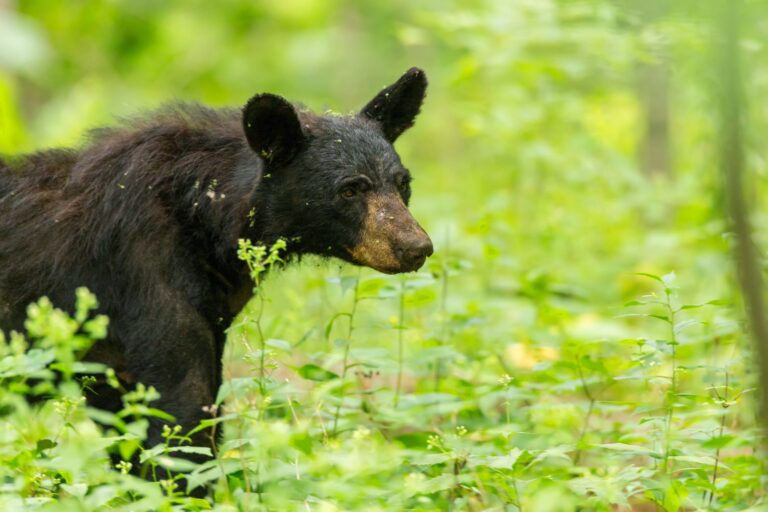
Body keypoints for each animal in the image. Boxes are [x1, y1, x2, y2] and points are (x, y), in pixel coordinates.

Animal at [0, 68, 433, 488]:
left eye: (403, 183)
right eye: (349, 190)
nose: (416, 247)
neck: (203, 219)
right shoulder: (144, 278)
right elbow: (180, 416)